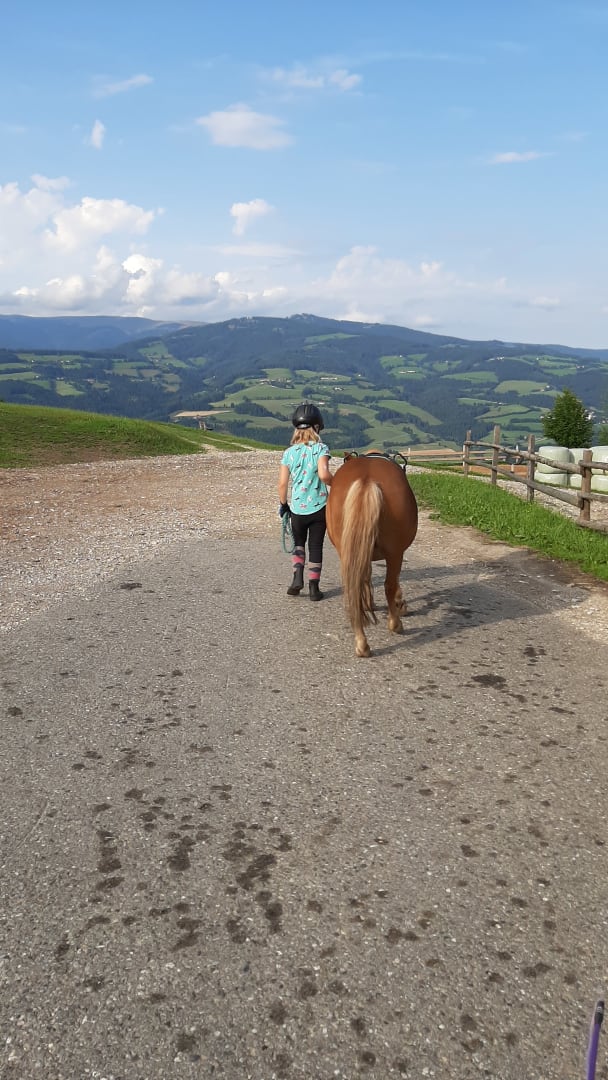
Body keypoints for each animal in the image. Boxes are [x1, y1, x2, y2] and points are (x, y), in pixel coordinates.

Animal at [326, 452, 418, 657]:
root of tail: (366, 480)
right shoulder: (397, 552)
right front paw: (401, 604)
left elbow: (365, 577)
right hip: (394, 553)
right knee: (389, 585)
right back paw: (395, 624)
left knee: (354, 588)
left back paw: (361, 641)